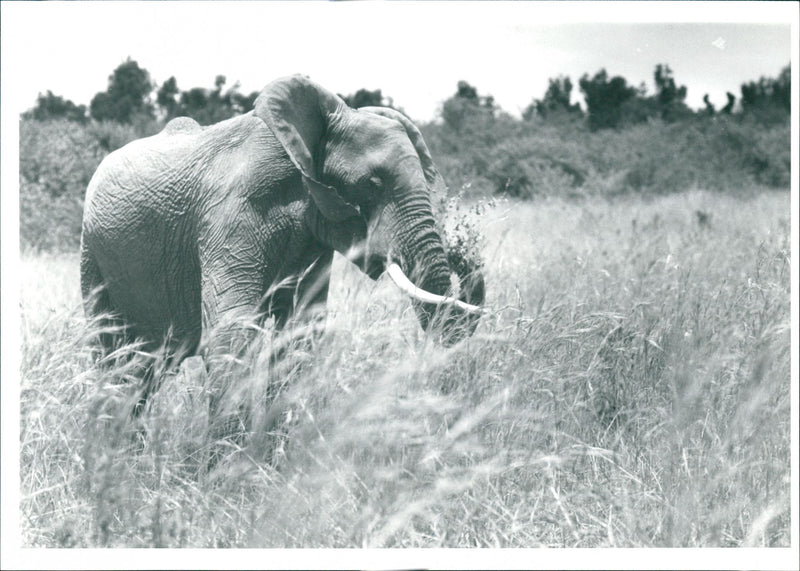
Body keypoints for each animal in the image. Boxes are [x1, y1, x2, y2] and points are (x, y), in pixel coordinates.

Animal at [80, 74, 485, 424]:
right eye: (373, 183)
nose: (462, 250)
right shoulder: (229, 215)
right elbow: (233, 332)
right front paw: (229, 462)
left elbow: (300, 333)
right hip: (92, 257)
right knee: (115, 360)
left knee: (143, 372)